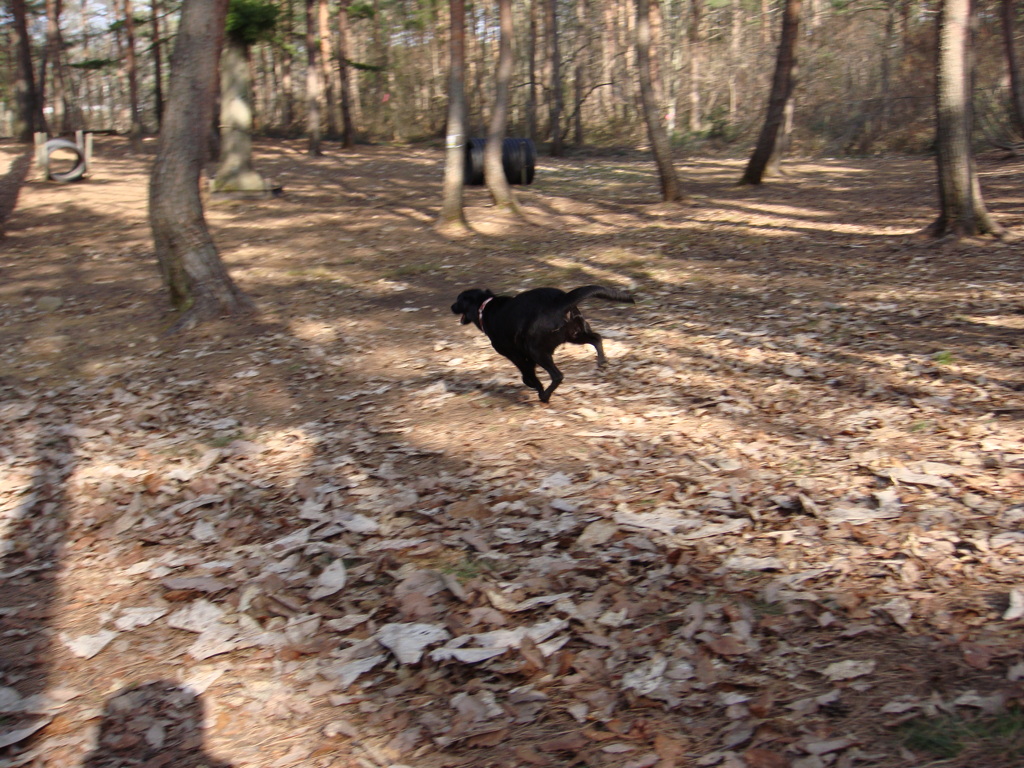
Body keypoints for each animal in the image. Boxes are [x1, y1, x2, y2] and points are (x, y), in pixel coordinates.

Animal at [454, 284, 634, 403]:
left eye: (458, 300)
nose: (451, 306)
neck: (484, 307)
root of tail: (561, 302)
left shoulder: (515, 354)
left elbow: (528, 374)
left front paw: (536, 386)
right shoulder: (526, 354)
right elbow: (528, 373)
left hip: (538, 350)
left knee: (557, 375)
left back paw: (545, 396)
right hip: (574, 335)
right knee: (596, 338)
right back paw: (602, 362)